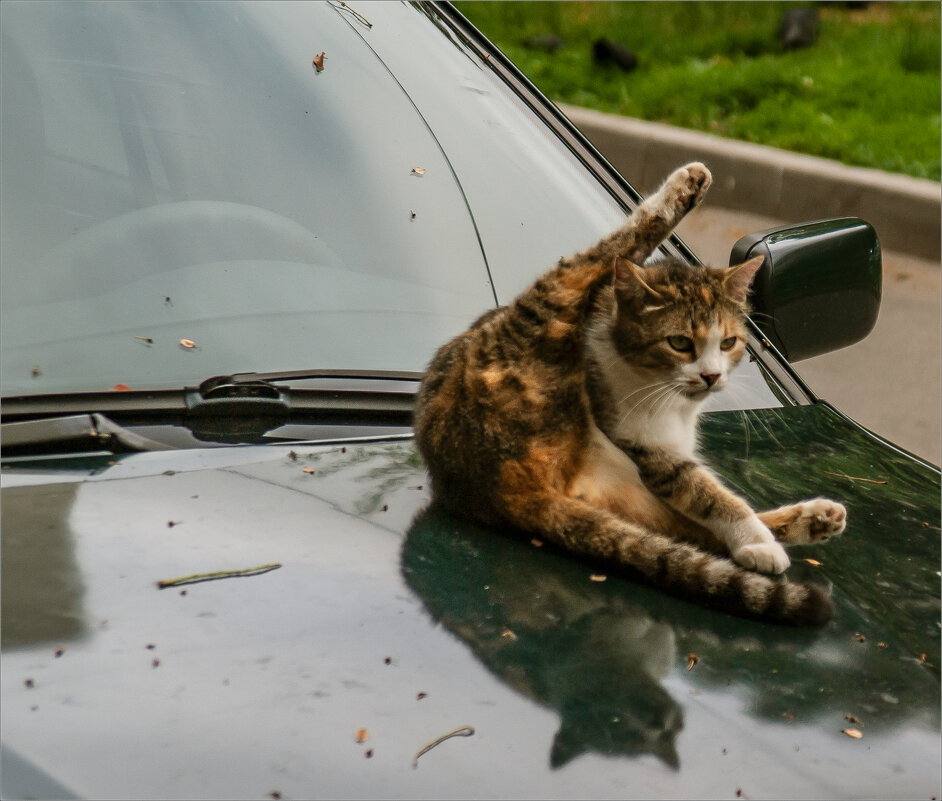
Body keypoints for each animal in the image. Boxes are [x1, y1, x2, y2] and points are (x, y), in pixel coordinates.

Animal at [412, 162, 848, 624]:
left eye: (728, 342)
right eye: (680, 343)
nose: (712, 377)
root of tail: (496, 485)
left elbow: (706, 501)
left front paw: (765, 537)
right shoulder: (648, 450)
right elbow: (709, 494)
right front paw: (757, 541)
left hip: (629, 498)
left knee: (684, 533)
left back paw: (812, 520)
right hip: (547, 309)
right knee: (613, 247)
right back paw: (686, 184)